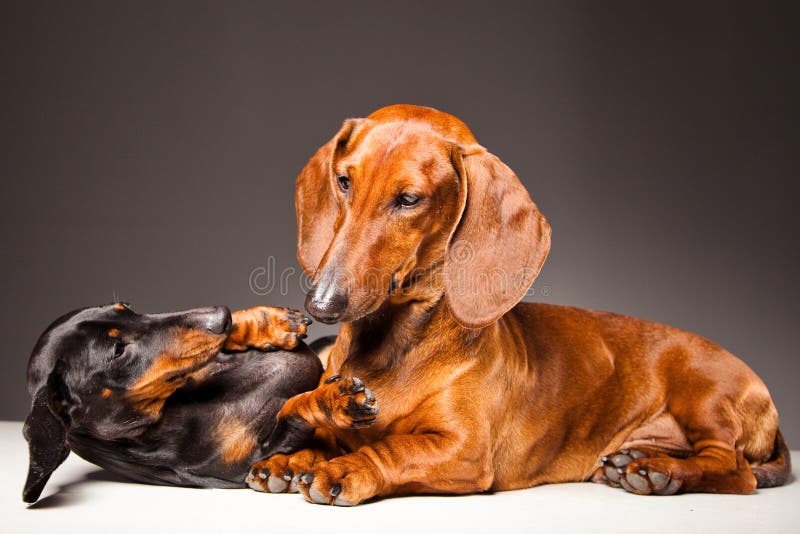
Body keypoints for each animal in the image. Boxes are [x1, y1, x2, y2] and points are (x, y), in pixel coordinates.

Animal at [21, 304, 324, 504]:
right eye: (118, 350)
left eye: (127, 308)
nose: (222, 314)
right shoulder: (253, 455)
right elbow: (298, 411)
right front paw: (328, 398)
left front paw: (268, 322)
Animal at [247, 103, 792, 506]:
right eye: (343, 181)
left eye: (409, 199)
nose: (320, 304)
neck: (392, 348)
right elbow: (319, 429)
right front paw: (293, 459)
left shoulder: (463, 450)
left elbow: (392, 449)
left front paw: (346, 468)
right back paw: (635, 466)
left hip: (705, 396)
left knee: (734, 470)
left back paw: (662, 473)